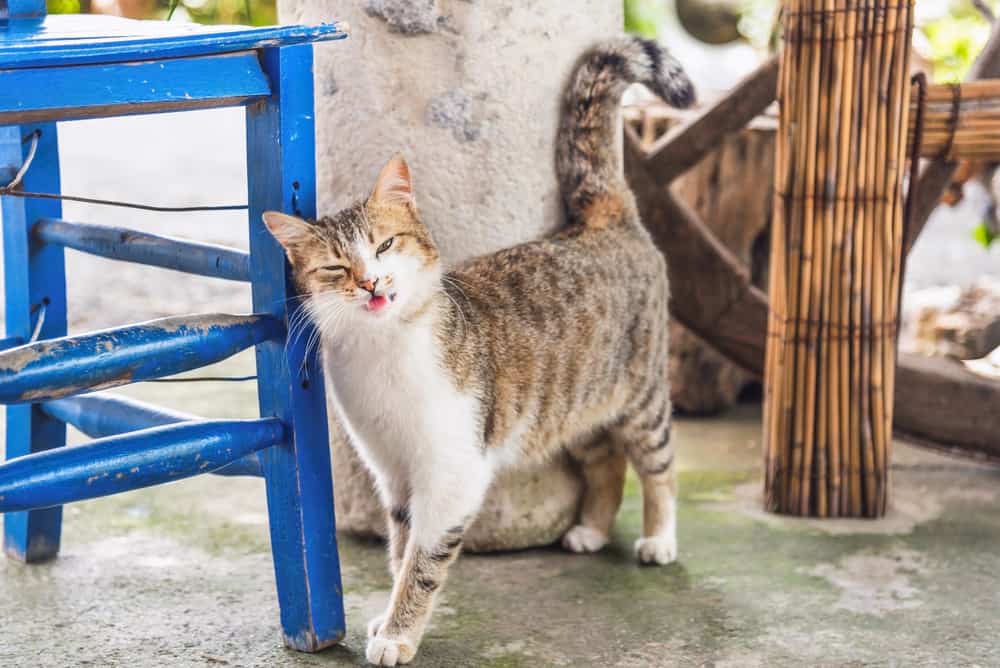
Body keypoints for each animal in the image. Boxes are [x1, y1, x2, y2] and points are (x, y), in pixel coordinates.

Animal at [264, 37, 696, 668]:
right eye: (335, 269)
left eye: (385, 245)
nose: (370, 283)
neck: (386, 353)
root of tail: (603, 217)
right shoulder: (393, 471)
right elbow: (399, 549)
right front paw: (387, 618)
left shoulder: (451, 471)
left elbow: (421, 563)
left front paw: (399, 634)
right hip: (573, 403)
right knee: (605, 461)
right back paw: (592, 530)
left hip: (641, 396)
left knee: (658, 464)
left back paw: (660, 538)